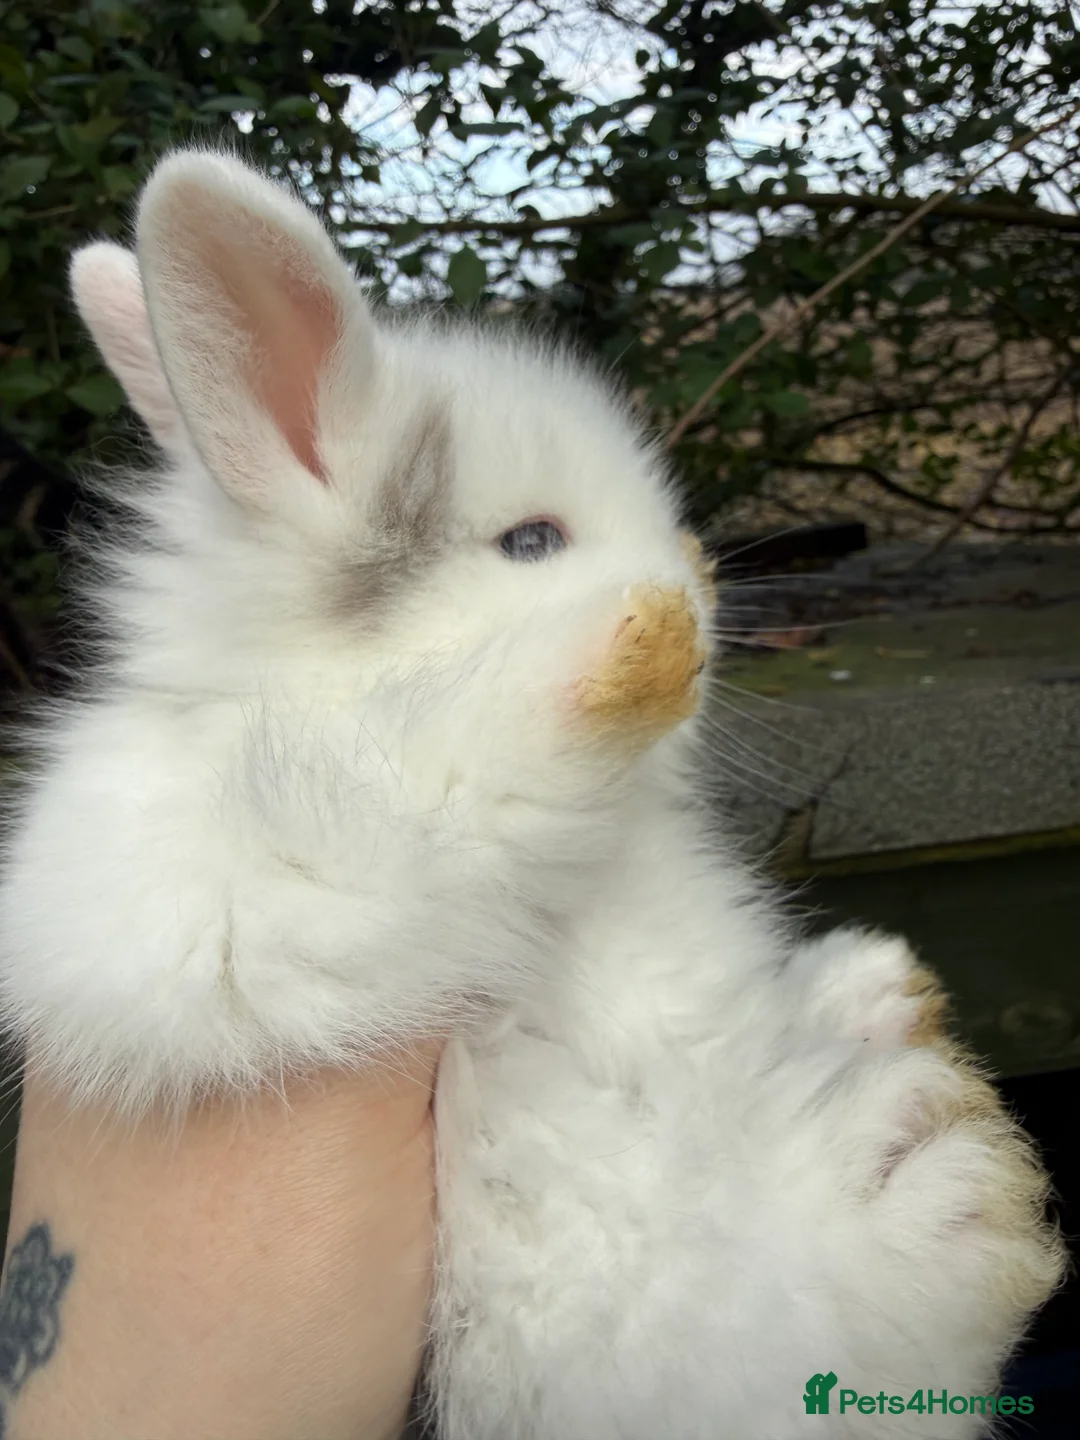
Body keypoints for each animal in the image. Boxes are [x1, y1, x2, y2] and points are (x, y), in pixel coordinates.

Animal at [0, 150, 1063, 1438]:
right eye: (531, 542)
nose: (692, 597)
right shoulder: (231, 904)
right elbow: (442, 775)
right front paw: (612, 645)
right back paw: (925, 1173)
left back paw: (885, 1028)